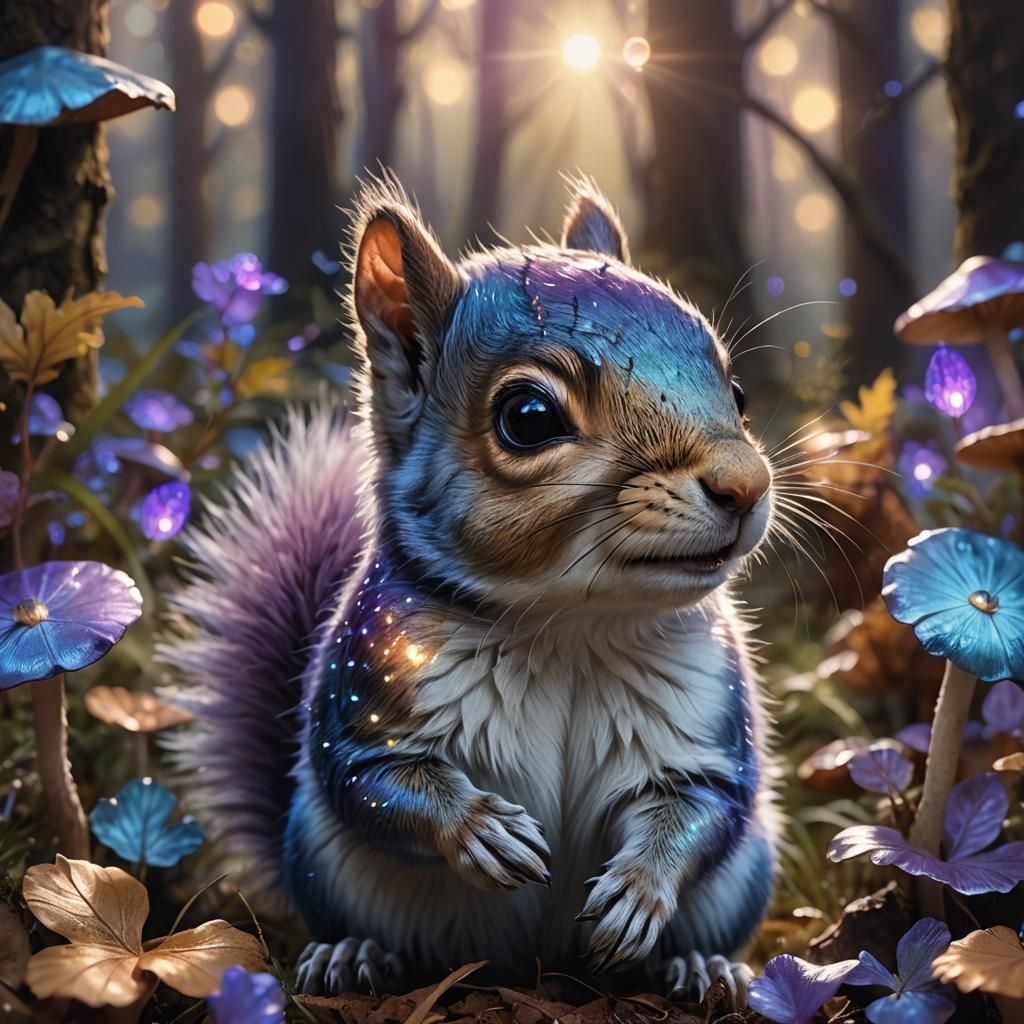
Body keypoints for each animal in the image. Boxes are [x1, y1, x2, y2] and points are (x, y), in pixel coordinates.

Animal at [161, 176, 780, 1003]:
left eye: (737, 392)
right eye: (529, 417)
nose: (746, 485)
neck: (569, 627)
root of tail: (533, 970)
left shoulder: (706, 715)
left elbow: (704, 803)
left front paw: (641, 886)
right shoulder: (367, 688)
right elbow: (372, 779)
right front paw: (480, 828)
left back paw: (702, 964)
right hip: (327, 867)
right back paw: (351, 955)